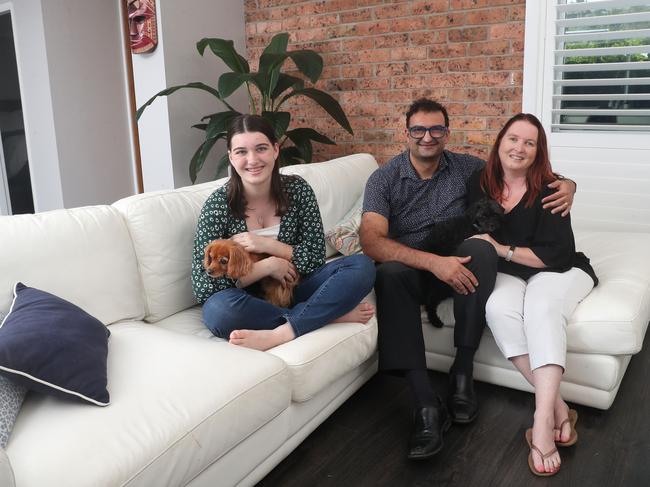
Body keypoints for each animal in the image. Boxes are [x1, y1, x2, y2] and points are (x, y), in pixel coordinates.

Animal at [418, 197, 504, 328]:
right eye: (483, 216)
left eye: (495, 214)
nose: (492, 225)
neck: (474, 225)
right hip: (439, 284)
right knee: (430, 301)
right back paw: (435, 320)